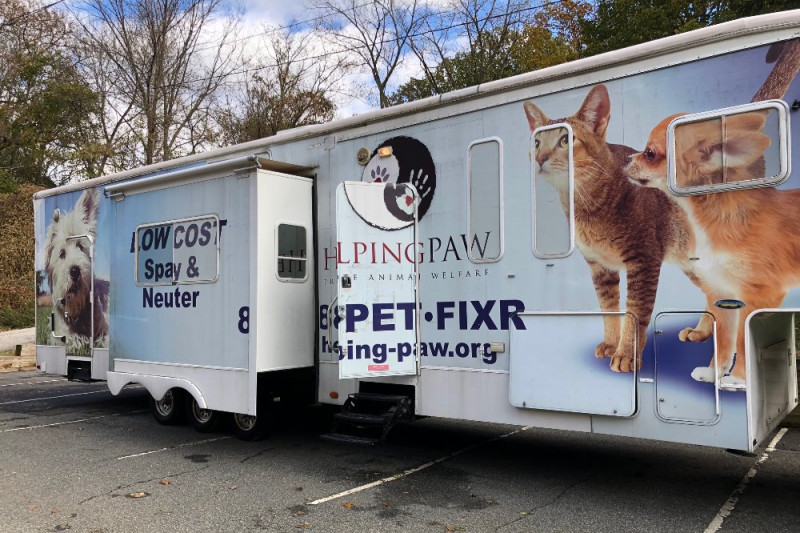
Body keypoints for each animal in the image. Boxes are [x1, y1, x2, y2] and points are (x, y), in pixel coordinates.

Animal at [524, 85, 700, 373]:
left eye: (566, 140)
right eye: (536, 142)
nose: (539, 157)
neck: (586, 205)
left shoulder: (644, 260)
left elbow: (636, 311)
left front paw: (627, 353)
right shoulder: (599, 266)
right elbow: (608, 307)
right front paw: (611, 343)